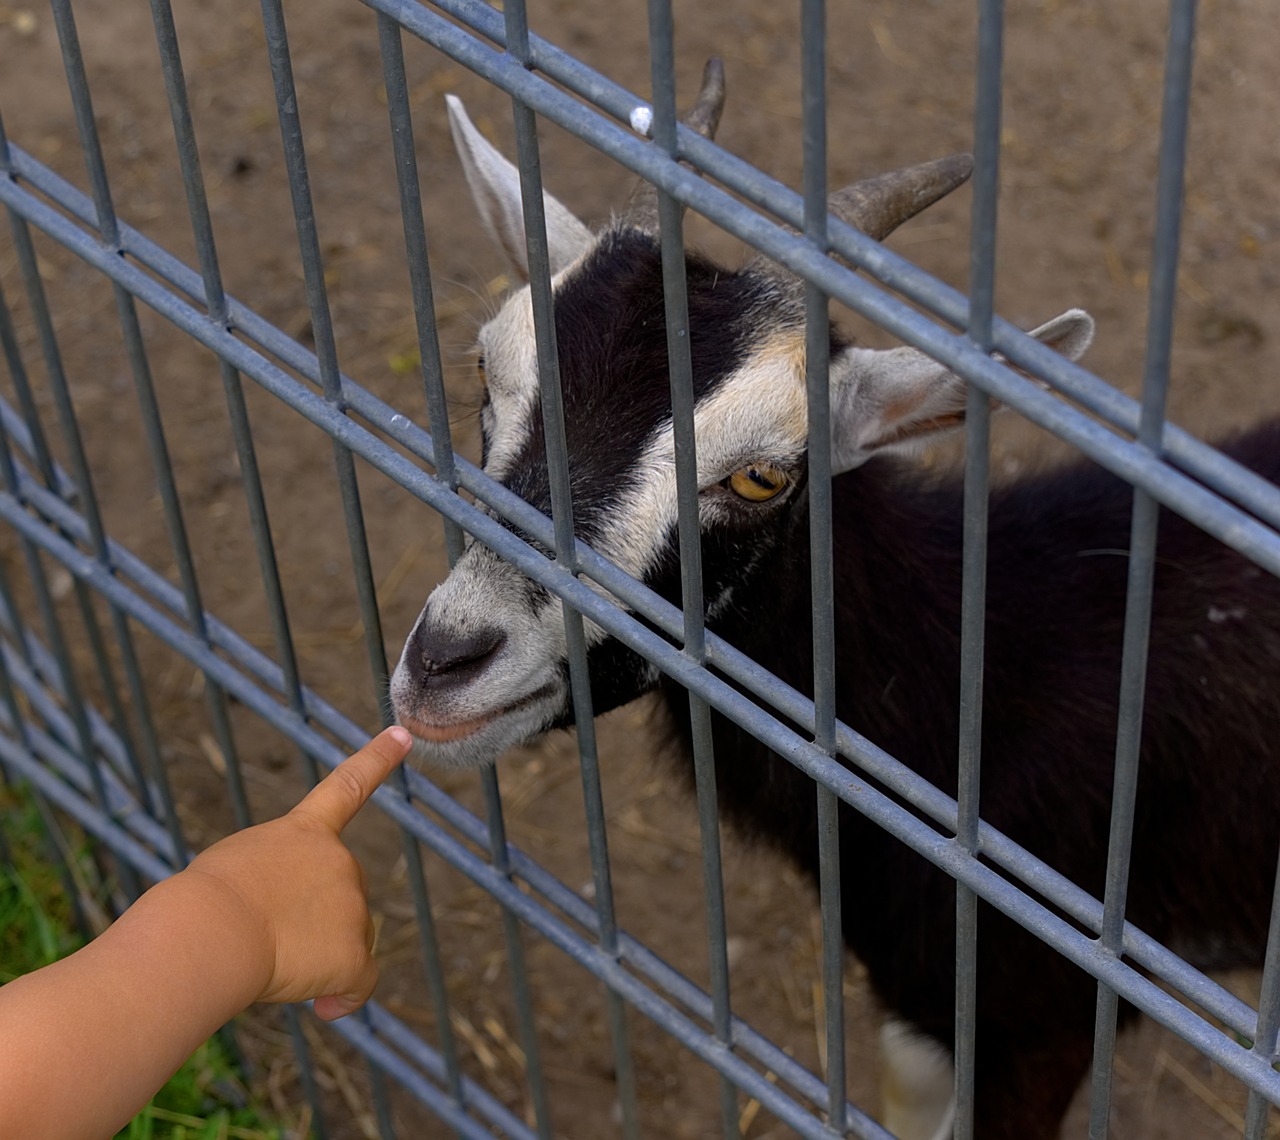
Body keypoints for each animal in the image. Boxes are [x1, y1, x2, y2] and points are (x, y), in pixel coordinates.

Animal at [390, 65, 1280, 1140]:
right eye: (489, 370)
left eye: (763, 475)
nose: (445, 663)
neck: (986, 673)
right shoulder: (923, 1024)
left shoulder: (1042, 1026)